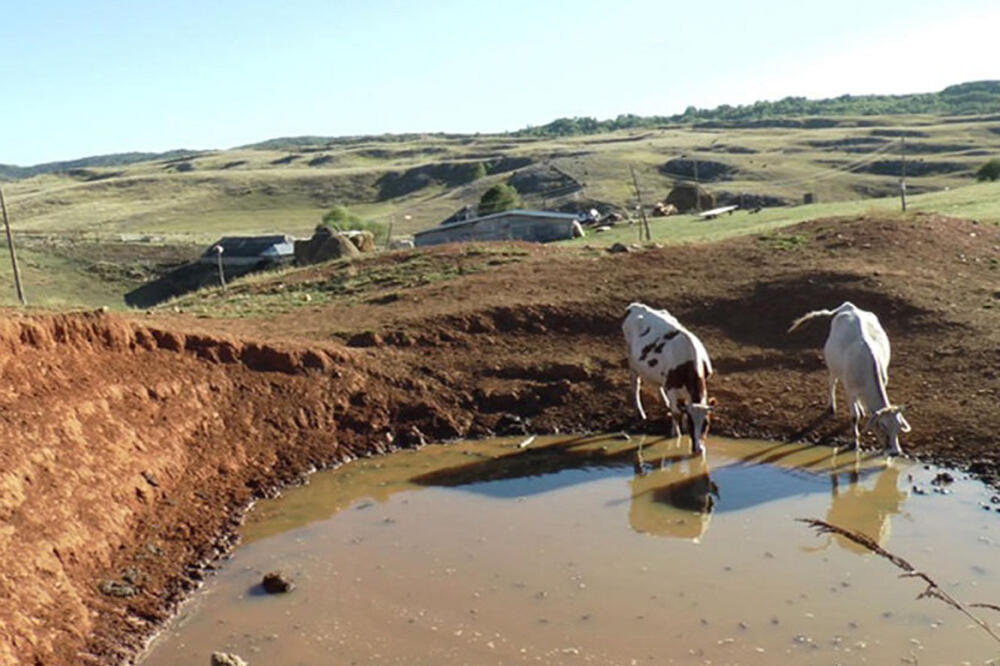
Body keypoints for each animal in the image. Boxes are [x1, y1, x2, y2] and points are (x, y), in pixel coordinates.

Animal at [620, 300, 716, 452]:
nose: (698, 449)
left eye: (706, 423)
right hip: (632, 360)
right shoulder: (671, 386)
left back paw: (664, 402)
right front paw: (676, 434)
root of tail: (634, 306)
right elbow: (676, 412)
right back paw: (640, 413)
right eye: (692, 423)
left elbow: (684, 406)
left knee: (658, 383)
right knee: (635, 384)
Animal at [792, 304, 912, 454]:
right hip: (833, 366)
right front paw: (855, 441)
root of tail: (849, 306)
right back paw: (832, 406)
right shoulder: (850, 390)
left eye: (898, 428)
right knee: (832, 383)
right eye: (883, 426)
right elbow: (854, 417)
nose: (895, 452)